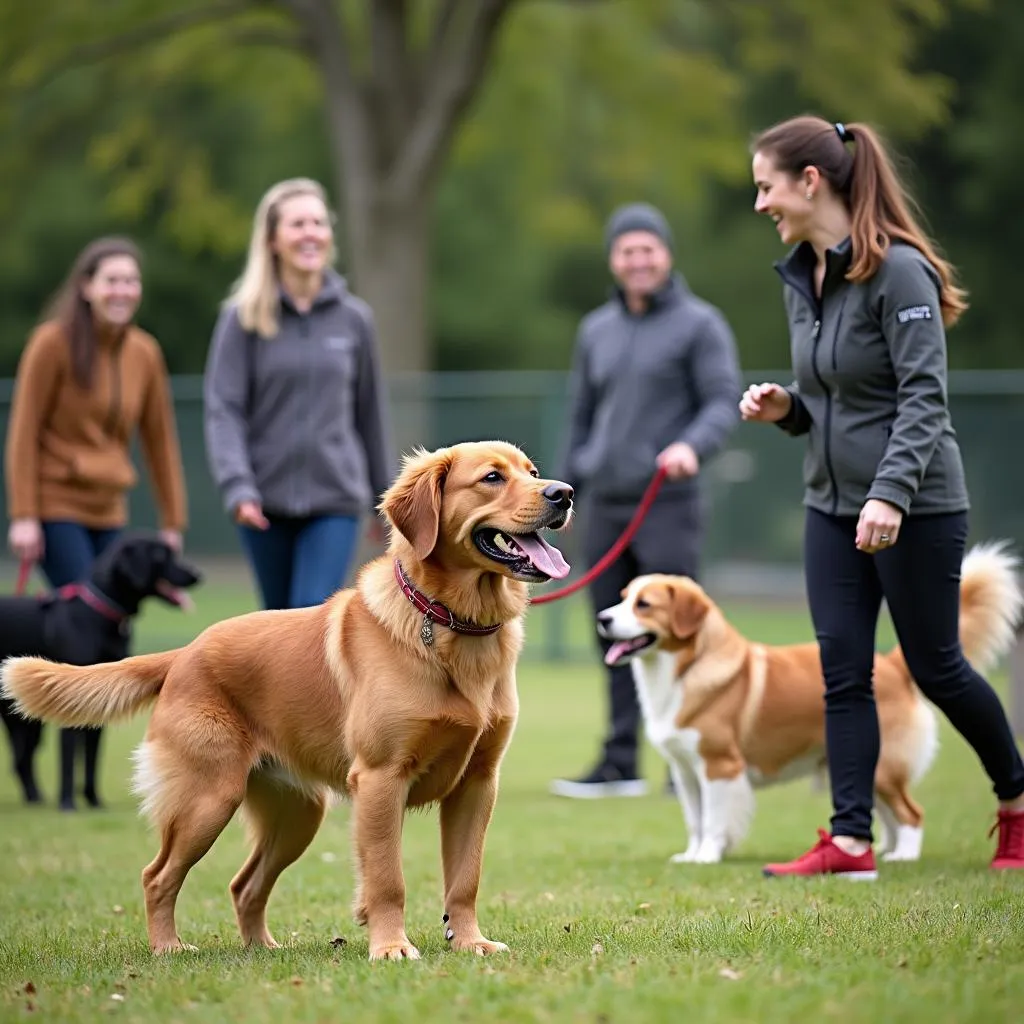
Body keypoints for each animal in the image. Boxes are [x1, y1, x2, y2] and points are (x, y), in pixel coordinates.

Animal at [0, 536, 201, 806]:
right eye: (161, 555)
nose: (197, 574)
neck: (97, 613)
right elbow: (69, 760)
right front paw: (68, 804)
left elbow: (91, 759)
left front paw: (93, 801)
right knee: (22, 759)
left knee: (22, 760)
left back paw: (34, 798)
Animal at [598, 544, 1019, 864]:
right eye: (622, 599)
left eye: (644, 605)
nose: (602, 618)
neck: (685, 669)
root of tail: (891, 664)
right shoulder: (686, 772)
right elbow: (695, 820)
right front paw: (691, 854)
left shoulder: (720, 767)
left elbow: (715, 821)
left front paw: (707, 856)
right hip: (868, 767)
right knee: (889, 814)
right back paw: (881, 851)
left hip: (885, 766)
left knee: (911, 813)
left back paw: (904, 856)